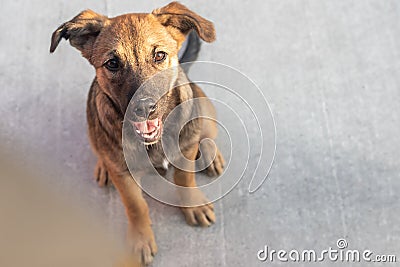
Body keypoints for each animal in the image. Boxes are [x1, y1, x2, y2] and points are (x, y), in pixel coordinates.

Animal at [50, 1, 223, 266]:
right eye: (112, 63)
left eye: (159, 55)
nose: (144, 108)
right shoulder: (124, 176)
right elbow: (136, 206)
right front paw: (141, 239)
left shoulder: (184, 152)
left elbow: (185, 179)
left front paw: (193, 205)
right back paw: (103, 167)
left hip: (203, 108)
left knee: (206, 134)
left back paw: (213, 155)